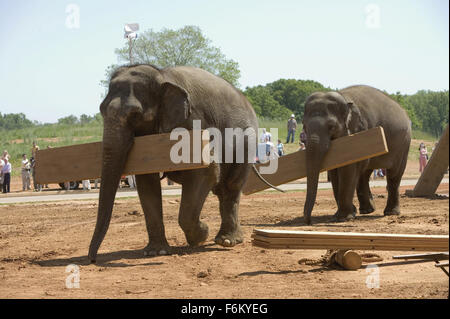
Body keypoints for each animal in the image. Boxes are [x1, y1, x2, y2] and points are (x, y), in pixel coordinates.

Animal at [88, 63, 258, 264]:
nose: (92, 260)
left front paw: (201, 236)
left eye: (135, 114)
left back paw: (227, 241)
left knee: (231, 186)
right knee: (221, 190)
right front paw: (156, 252)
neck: (162, 76)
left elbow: (206, 171)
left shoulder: (194, 121)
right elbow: (146, 180)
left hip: (247, 142)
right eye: (101, 110)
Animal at [302, 85, 412, 225]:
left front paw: (343, 218)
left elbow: (348, 169)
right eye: (304, 126)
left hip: (403, 144)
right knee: (364, 173)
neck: (344, 98)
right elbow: (335, 171)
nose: (309, 221)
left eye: (331, 127)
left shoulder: (358, 131)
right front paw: (347, 213)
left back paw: (390, 213)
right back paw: (367, 210)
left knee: (394, 174)